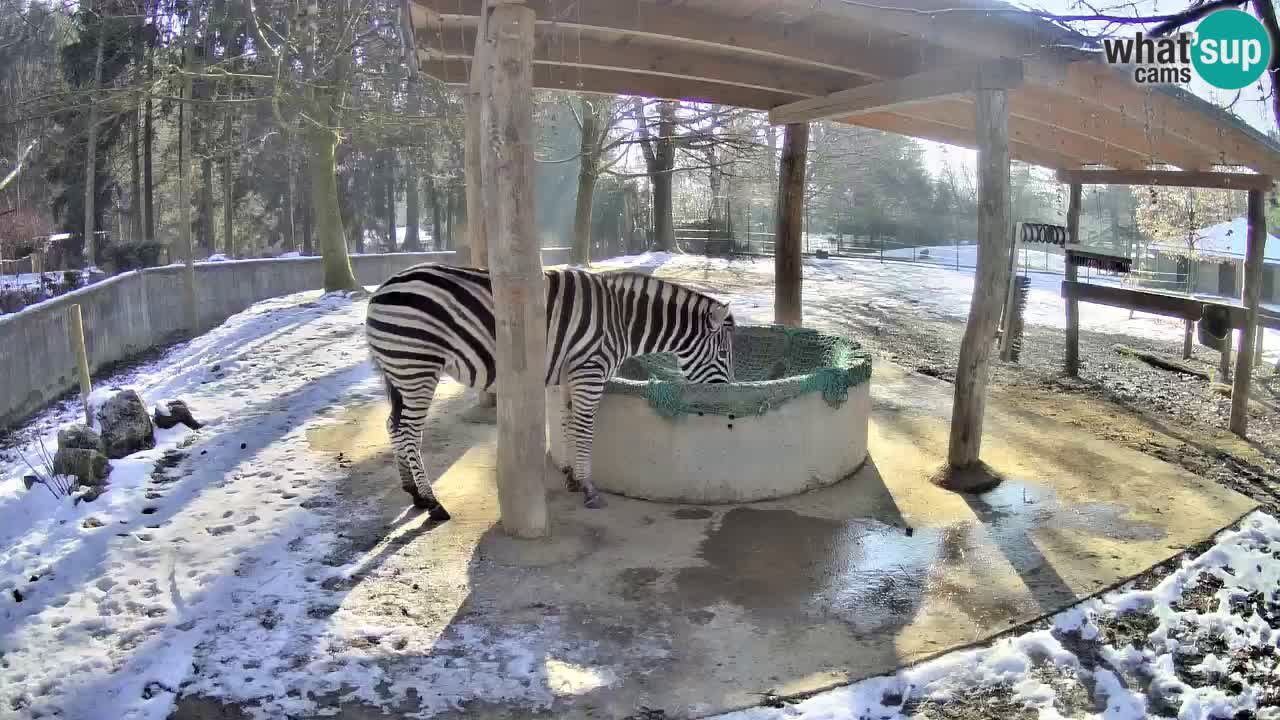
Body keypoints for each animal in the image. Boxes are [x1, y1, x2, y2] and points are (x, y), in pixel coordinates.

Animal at [366, 262, 737, 515]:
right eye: (723, 354)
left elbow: (569, 424)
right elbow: (584, 429)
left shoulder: (571, 376)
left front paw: (572, 478)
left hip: (397, 372)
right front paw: (588, 488)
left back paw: (412, 492)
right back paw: (433, 502)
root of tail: (380, 291)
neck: (621, 321)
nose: (731, 393)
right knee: (409, 431)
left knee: (393, 426)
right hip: (417, 366)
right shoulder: (589, 372)